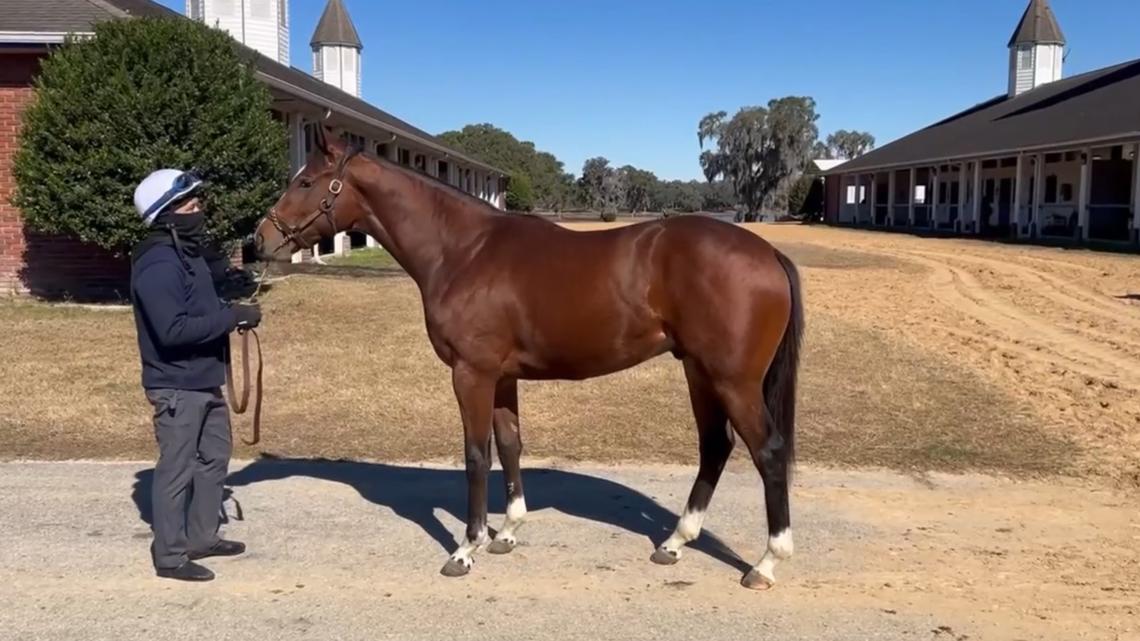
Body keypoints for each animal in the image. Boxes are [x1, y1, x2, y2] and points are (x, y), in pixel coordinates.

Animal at [252, 127, 804, 590]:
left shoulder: (470, 374)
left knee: (767, 451)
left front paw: (466, 548)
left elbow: (476, 455)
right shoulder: (500, 377)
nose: (258, 239)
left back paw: (765, 563)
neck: (463, 251)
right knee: (715, 445)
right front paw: (508, 532)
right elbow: (509, 444)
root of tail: (767, 254)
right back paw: (674, 542)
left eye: (305, 181)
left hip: (732, 380)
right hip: (698, 371)